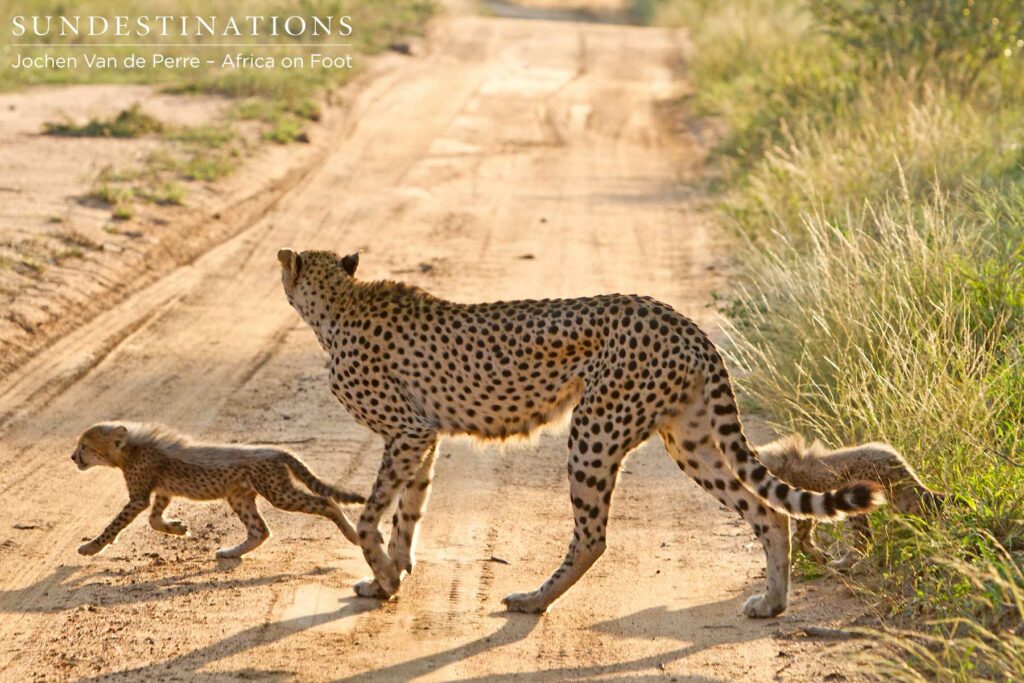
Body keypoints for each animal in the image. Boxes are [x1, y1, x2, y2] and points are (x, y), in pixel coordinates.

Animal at [72, 422, 365, 559]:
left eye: (85, 446)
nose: (73, 457)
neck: (129, 448)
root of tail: (276, 450)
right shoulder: (164, 490)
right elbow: (154, 519)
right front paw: (177, 528)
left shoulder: (138, 497)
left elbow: (116, 523)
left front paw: (92, 546)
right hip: (239, 496)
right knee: (260, 530)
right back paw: (230, 552)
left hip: (279, 493)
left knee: (327, 502)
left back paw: (353, 535)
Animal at [277, 248, 885, 617]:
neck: (338, 304)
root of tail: (681, 320)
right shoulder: (424, 435)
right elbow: (408, 511)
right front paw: (391, 577)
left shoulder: (406, 431)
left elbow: (369, 516)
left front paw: (382, 575)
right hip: (688, 439)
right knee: (767, 511)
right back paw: (772, 603)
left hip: (593, 430)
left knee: (592, 536)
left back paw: (533, 599)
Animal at [758, 434, 946, 568]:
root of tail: (892, 457)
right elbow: (802, 536)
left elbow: (802, 537)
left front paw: (817, 556)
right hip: (899, 497)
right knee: (923, 507)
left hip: (857, 500)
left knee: (864, 537)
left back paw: (844, 564)